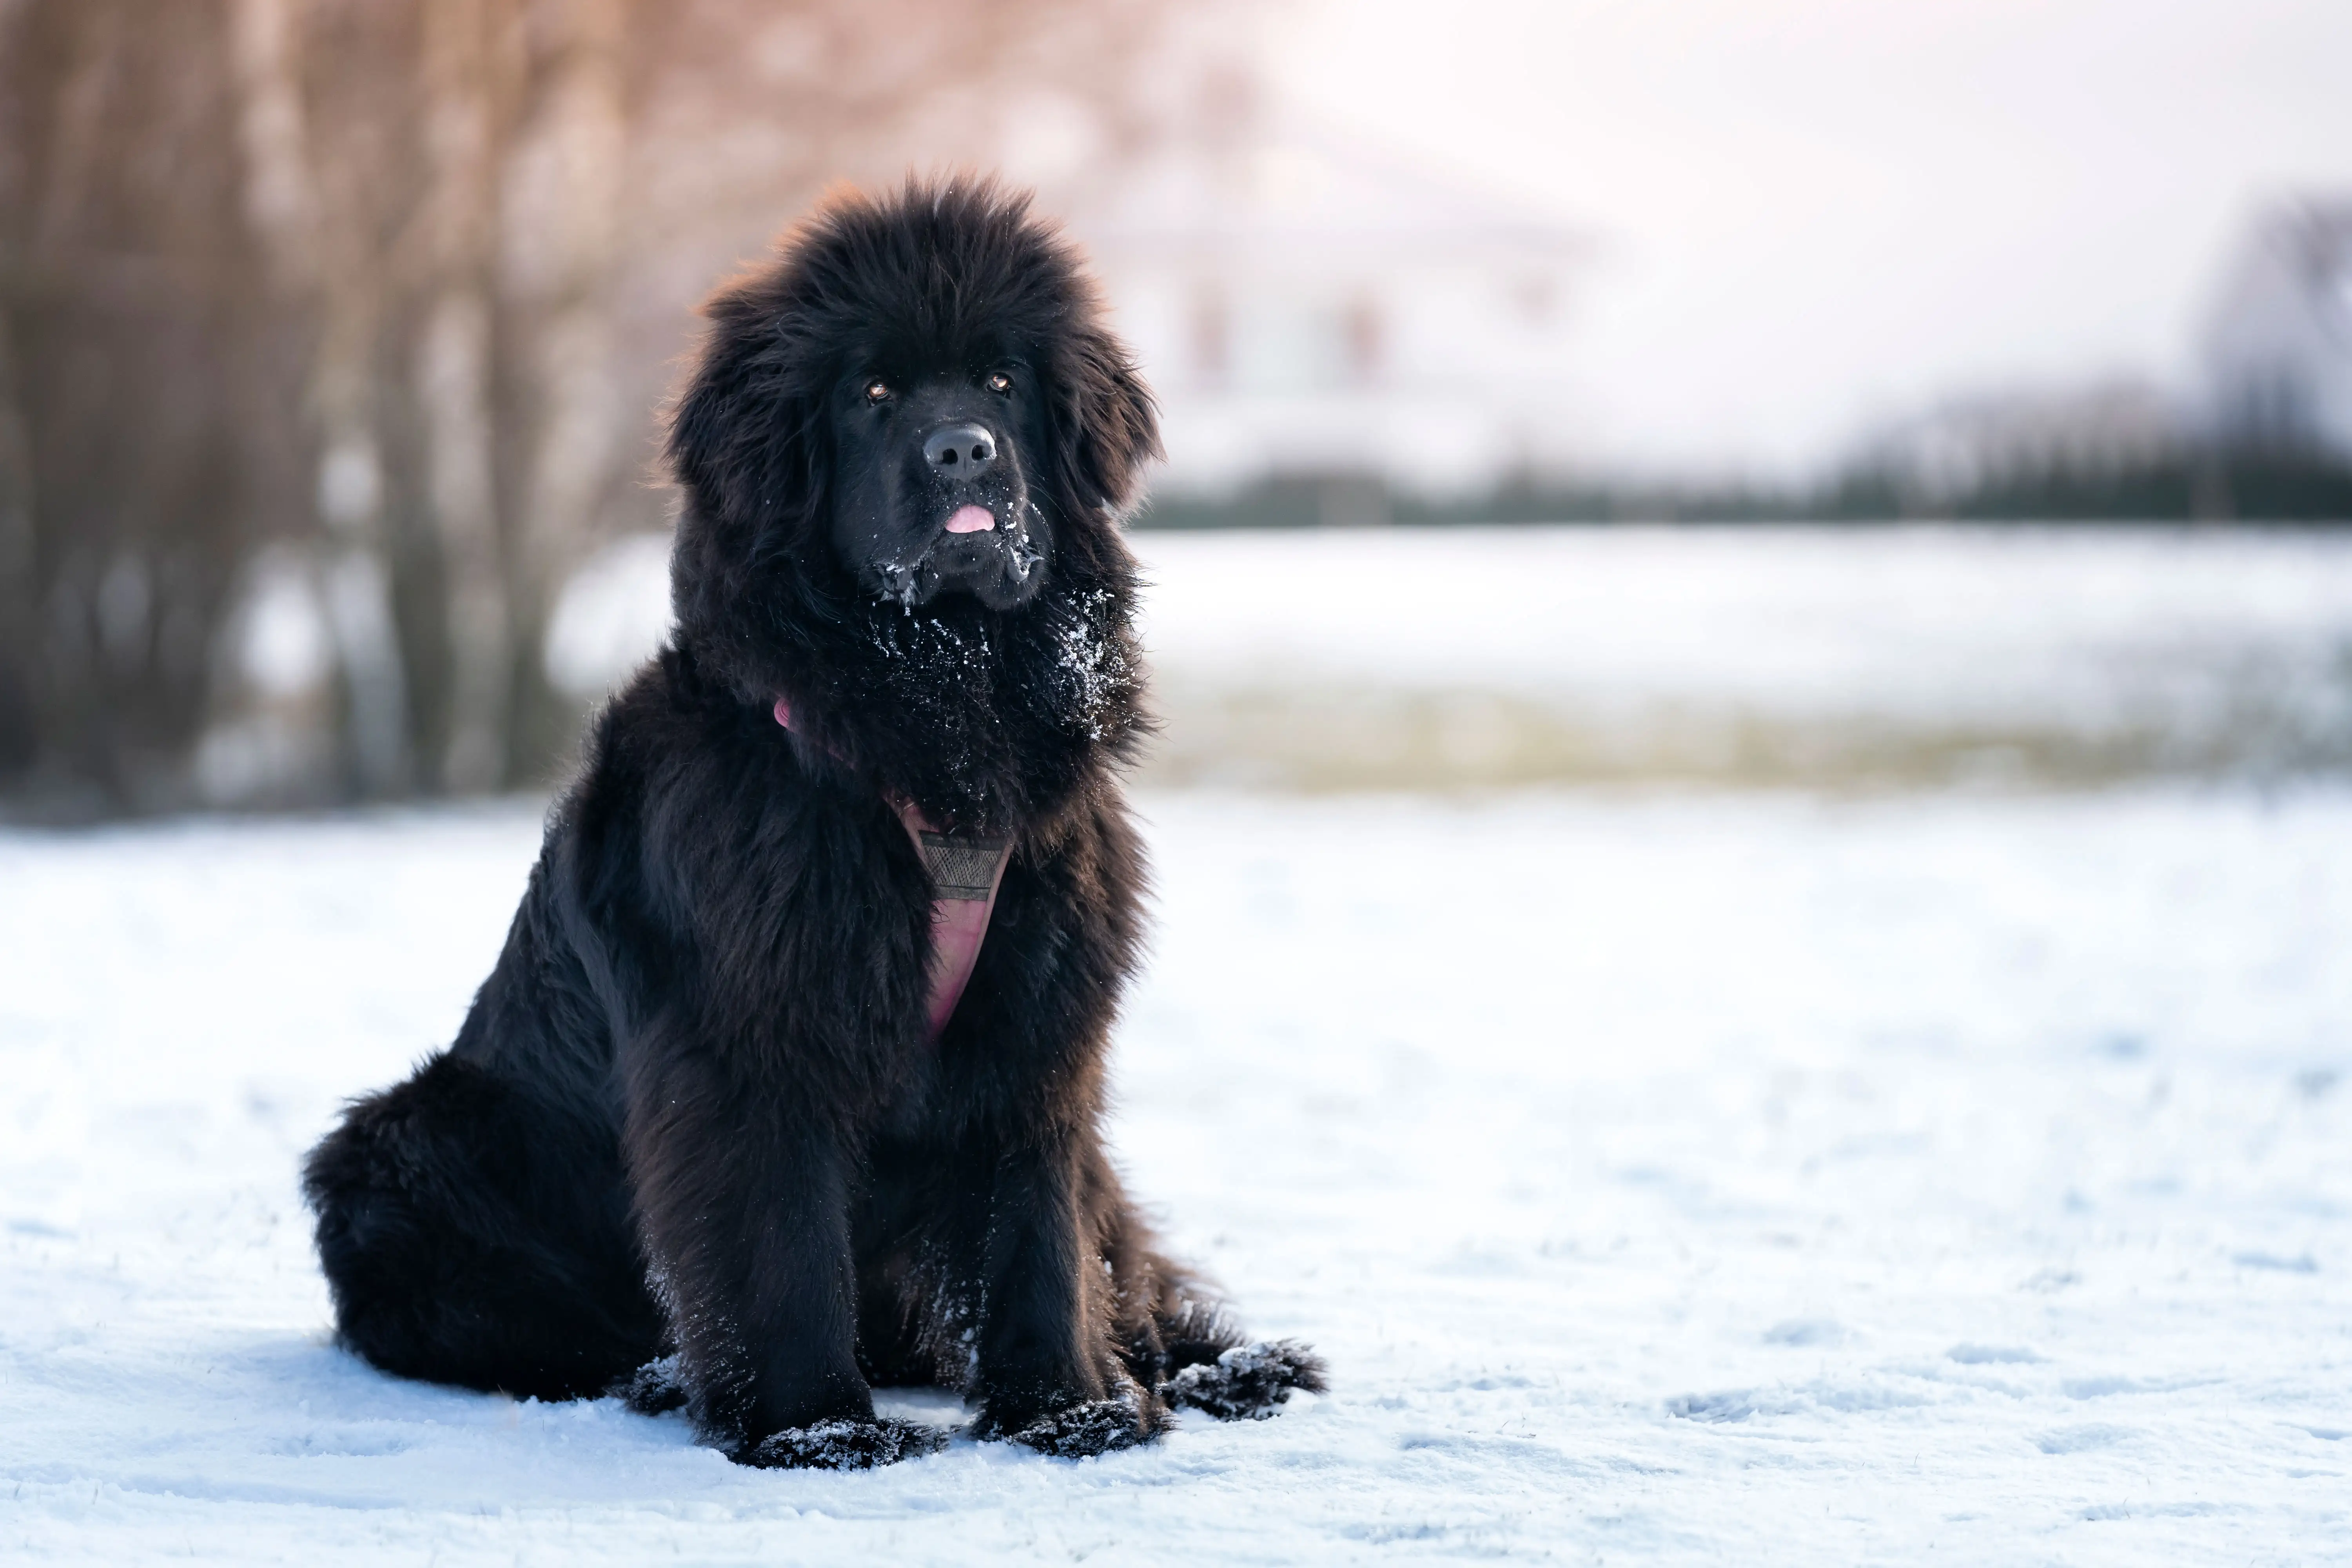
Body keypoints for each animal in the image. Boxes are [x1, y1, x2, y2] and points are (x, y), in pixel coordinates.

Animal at [299, 184, 1327, 1476]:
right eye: (872, 393)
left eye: (1001, 383)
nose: (961, 450)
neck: (936, 722)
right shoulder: (751, 1034)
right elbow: (775, 1240)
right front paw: (816, 1427)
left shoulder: (1039, 1021)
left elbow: (1041, 1230)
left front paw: (1070, 1409)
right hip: (403, 1153)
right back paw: (664, 1379)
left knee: (1123, 1262)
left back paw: (1223, 1368)